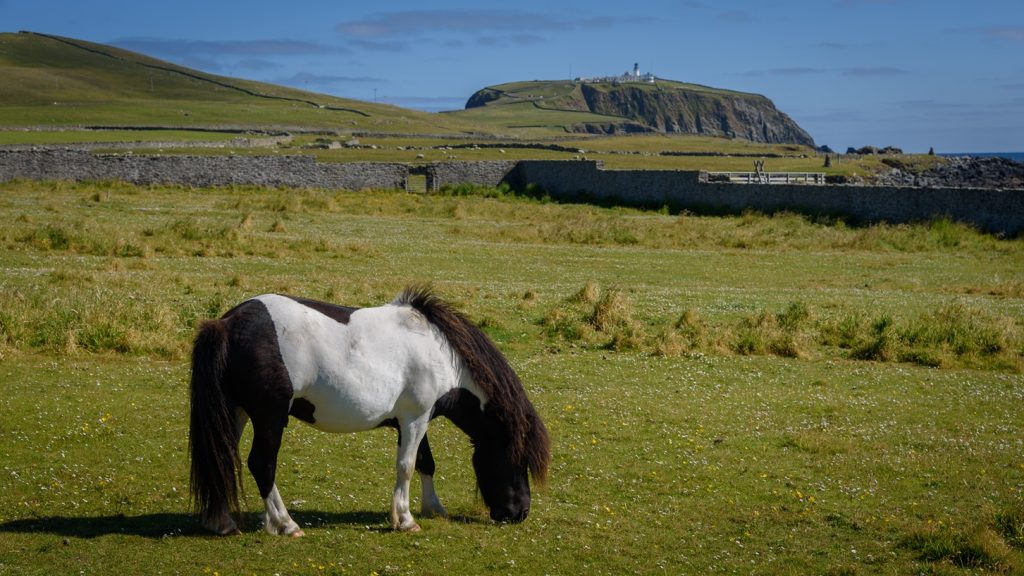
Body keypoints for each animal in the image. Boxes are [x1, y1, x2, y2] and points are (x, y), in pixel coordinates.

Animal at [188, 287, 550, 535]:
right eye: (517, 458)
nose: (520, 512)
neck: (440, 353)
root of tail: (228, 323)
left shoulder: (414, 420)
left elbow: (426, 463)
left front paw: (434, 508)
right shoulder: (415, 419)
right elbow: (406, 466)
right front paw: (405, 519)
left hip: (236, 412)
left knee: (223, 456)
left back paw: (224, 522)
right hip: (270, 417)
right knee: (261, 464)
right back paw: (286, 524)